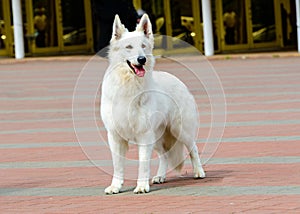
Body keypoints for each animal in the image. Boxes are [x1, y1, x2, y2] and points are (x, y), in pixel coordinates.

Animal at [102, 13, 205, 194]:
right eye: (129, 47)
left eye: (143, 46)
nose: (142, 59)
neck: (129, 85)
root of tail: (177, 80)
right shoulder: (115, 136)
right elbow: (117, 165)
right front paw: (115, 186)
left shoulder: (144, 135)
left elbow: (143, 164)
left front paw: (142, 186)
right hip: (157, 138)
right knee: (164, 155)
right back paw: (160, 176)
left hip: (180, 130)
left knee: (193, 148)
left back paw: (199, 172)